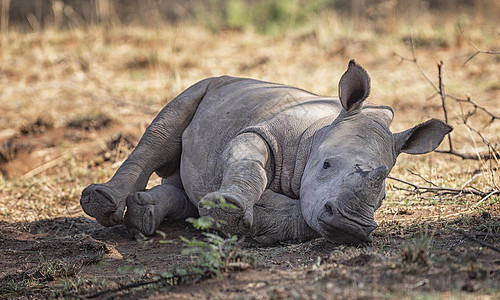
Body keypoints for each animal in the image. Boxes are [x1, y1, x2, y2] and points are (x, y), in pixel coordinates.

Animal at [80, 59, 452, 245]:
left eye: (383, 197)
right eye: (326, 165)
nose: (352, 226)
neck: (319, 133)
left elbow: (303, 214)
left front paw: (250, 225)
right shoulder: (259, 132)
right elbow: (250, 167)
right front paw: (228, 211)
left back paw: (145, 216)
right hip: (207, 85)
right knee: (160, 133)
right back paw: (104, 203)